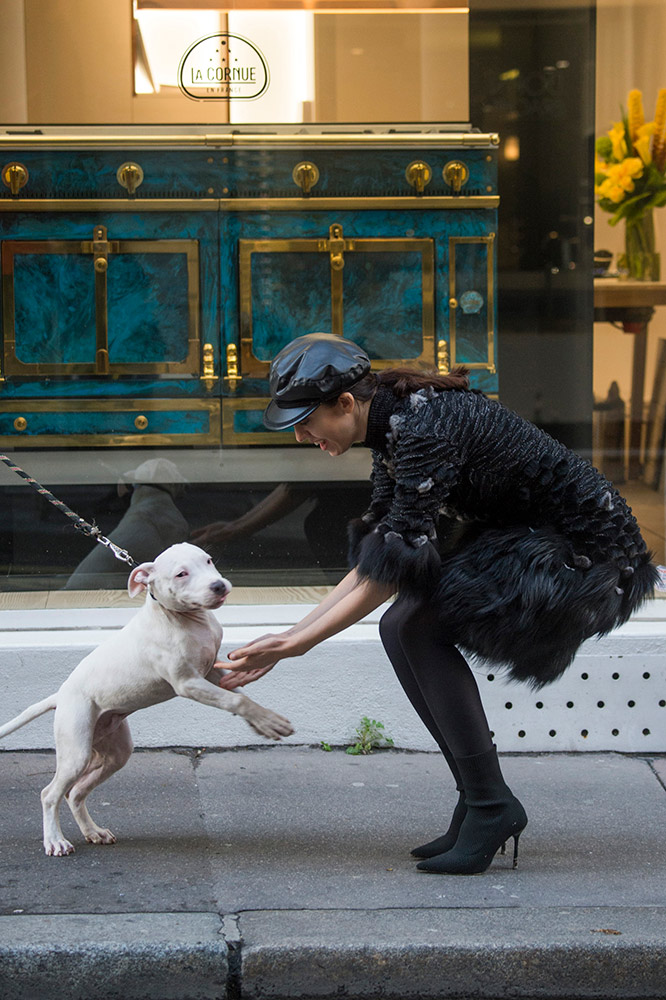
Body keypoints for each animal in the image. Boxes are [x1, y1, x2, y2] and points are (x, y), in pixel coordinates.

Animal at [0, 544, 290, 856]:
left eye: (209, 561)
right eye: (181, 574)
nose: (218, 586)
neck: (185, 619)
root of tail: (61, 694)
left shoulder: (210, 672)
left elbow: (238, 696)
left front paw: (265, 721)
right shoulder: (188, 683)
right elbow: (235, 701)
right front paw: (269, 722)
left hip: (114, 749)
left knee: (75, 792)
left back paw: (93, 832)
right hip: (75, 749)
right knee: (50, 793)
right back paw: (55, 840)